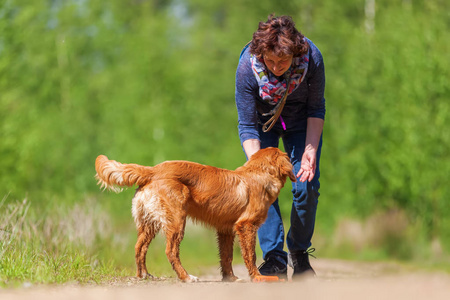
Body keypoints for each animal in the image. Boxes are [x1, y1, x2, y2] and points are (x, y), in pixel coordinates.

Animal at [95, 148, 296, 282]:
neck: (258, 175)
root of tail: (153, 170)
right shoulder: (246, 226)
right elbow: (251, 255)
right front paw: (258, 277)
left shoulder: (225, 230)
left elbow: (227, 257)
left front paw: (230, 278)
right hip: (177, 221)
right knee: (171, 251)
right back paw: (186, 277)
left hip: (149, 223)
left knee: (139, 248)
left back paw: (143, 275)